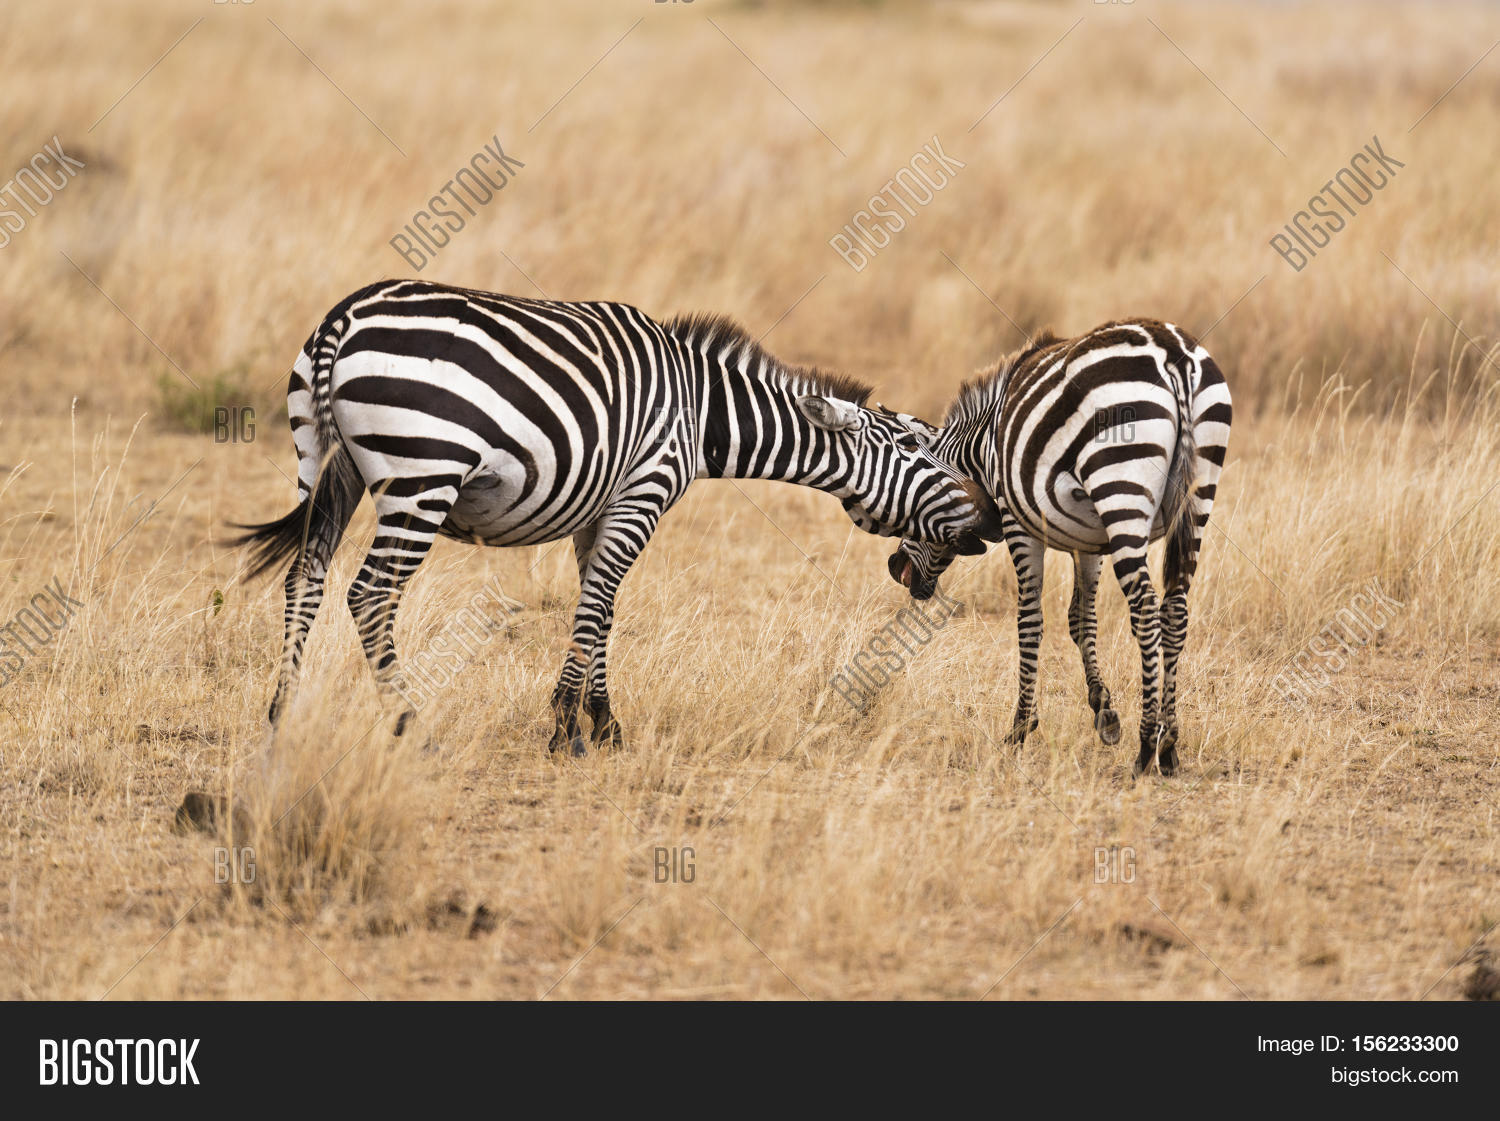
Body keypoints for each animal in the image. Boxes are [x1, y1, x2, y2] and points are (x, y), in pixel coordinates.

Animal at [234, 279, 1002, 754]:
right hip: (422, 476)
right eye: (918, 446)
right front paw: (569, 726)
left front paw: (597, 722)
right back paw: (409, 725)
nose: (992, 519)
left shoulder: (596, 508)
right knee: (370, 594)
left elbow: (596, 604)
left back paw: (281, 716)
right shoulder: (642, 493)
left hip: (327, 468)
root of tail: (344, 318)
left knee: (305, 575)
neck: (699, 411)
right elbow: (602, 601)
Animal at [887, 319, 1232, 776]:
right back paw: (1170, 746)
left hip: (1120, 484)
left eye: (916, 498)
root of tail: (1171, 350)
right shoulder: (1090, 543)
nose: (895, 566)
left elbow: (1030, 622)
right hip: (1198, 493)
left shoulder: (1018, 524)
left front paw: (1020, 727)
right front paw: (1105, 714)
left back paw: (1146, 747)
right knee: (1174, 610)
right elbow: (1080, 619)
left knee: (1144, 608)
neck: (982, 448)